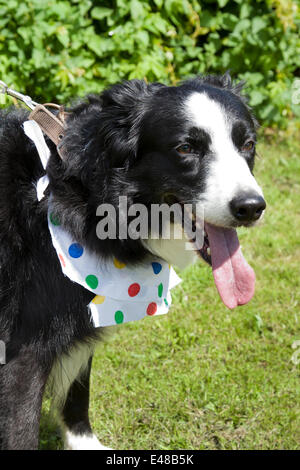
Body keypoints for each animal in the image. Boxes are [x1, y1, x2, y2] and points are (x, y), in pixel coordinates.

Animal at [0, 72, 264, 448]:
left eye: (247, 145)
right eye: (186, 149)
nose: (252, 207)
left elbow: (78, 390)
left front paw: (84, 443)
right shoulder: (23, 349)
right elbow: (21, 429)